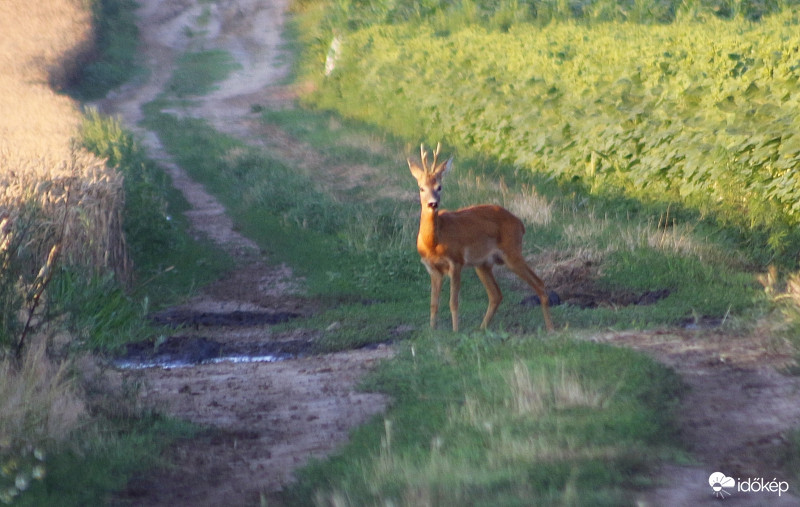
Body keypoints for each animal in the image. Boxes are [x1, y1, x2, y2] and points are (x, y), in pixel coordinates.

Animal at [410, 143, 552, 334]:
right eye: (421, 188)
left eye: (439, 187)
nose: (433, 203)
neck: (433, 242)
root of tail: (520, 223)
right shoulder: (432, 268)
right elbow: (433, 304)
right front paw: (433, 331)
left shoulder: (456, 261)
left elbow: (453, 302)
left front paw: (455, 331)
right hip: (483, 263)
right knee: (496, 294)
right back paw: (481, 328)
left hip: (512, 252)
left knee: (540, 284)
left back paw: (551, 328)